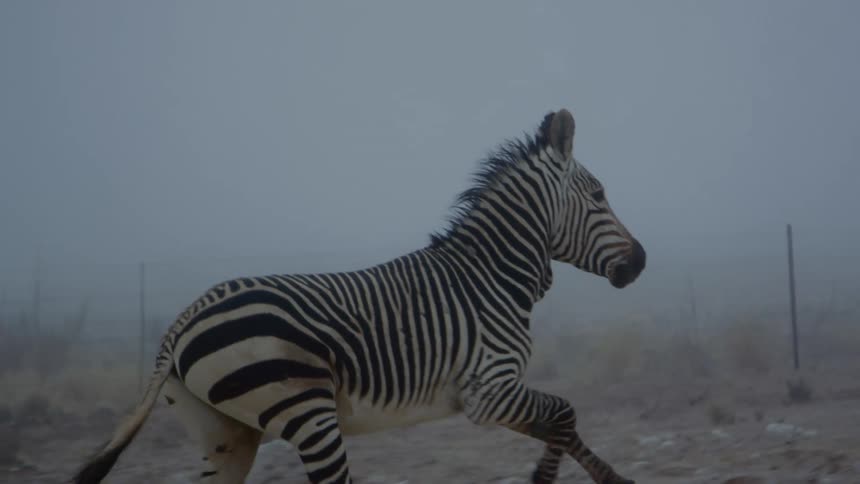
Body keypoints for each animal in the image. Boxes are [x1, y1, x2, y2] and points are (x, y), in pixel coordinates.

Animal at [73, 108, 645, 484]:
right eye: (599, 195)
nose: (640, 262)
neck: (490, 277)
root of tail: (181, 322)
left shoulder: (493, 396)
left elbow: (561, 425)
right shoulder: (489, 390)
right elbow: (566, 415)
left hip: (224, 434)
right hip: (308, 412)